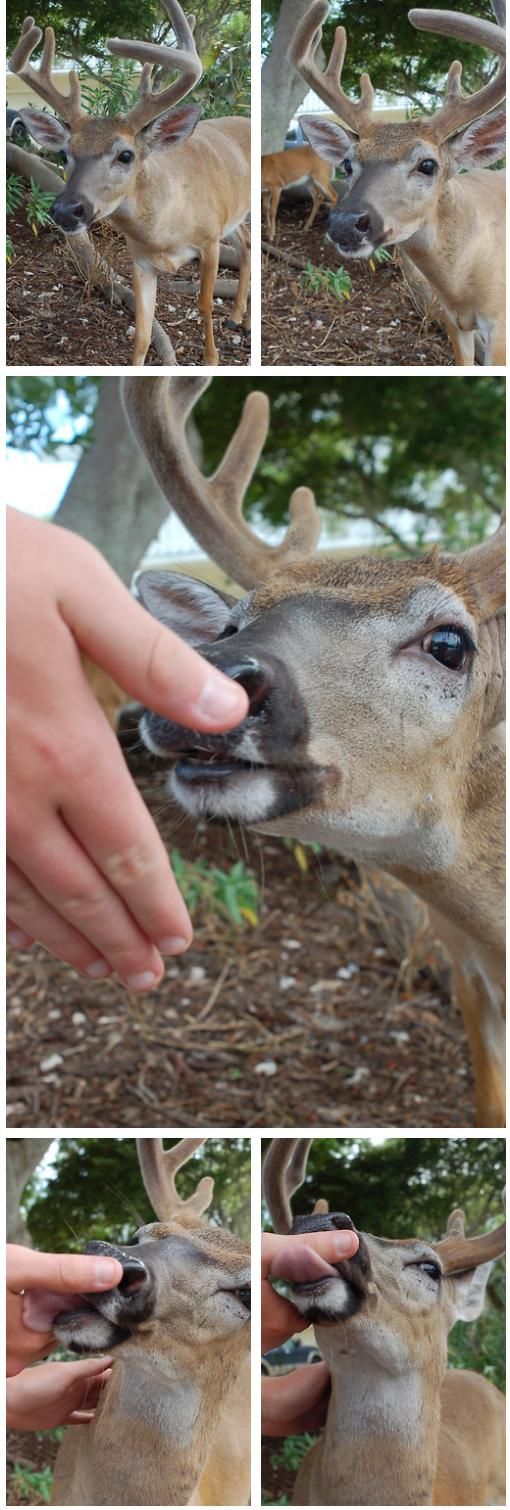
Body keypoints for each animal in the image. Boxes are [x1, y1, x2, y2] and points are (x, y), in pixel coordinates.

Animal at [9, 0, 250, 365]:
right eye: (65, 153)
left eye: (125, 155)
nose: (66, 209)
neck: (164, 232)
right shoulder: (139, 258)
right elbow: (142, 331)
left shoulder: (209, 240)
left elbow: (204, 303)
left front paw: (212, 359)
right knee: (247, 243)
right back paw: (238, 317)